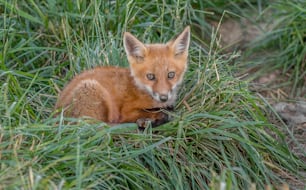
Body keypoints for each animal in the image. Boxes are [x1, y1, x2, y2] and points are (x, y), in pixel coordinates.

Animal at [54, 26, 189, 127]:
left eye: (171, 75)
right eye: (150, 76)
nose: (163, 97)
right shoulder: (127, 111)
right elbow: (154, 113)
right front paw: (154, 118)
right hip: (95, 90)